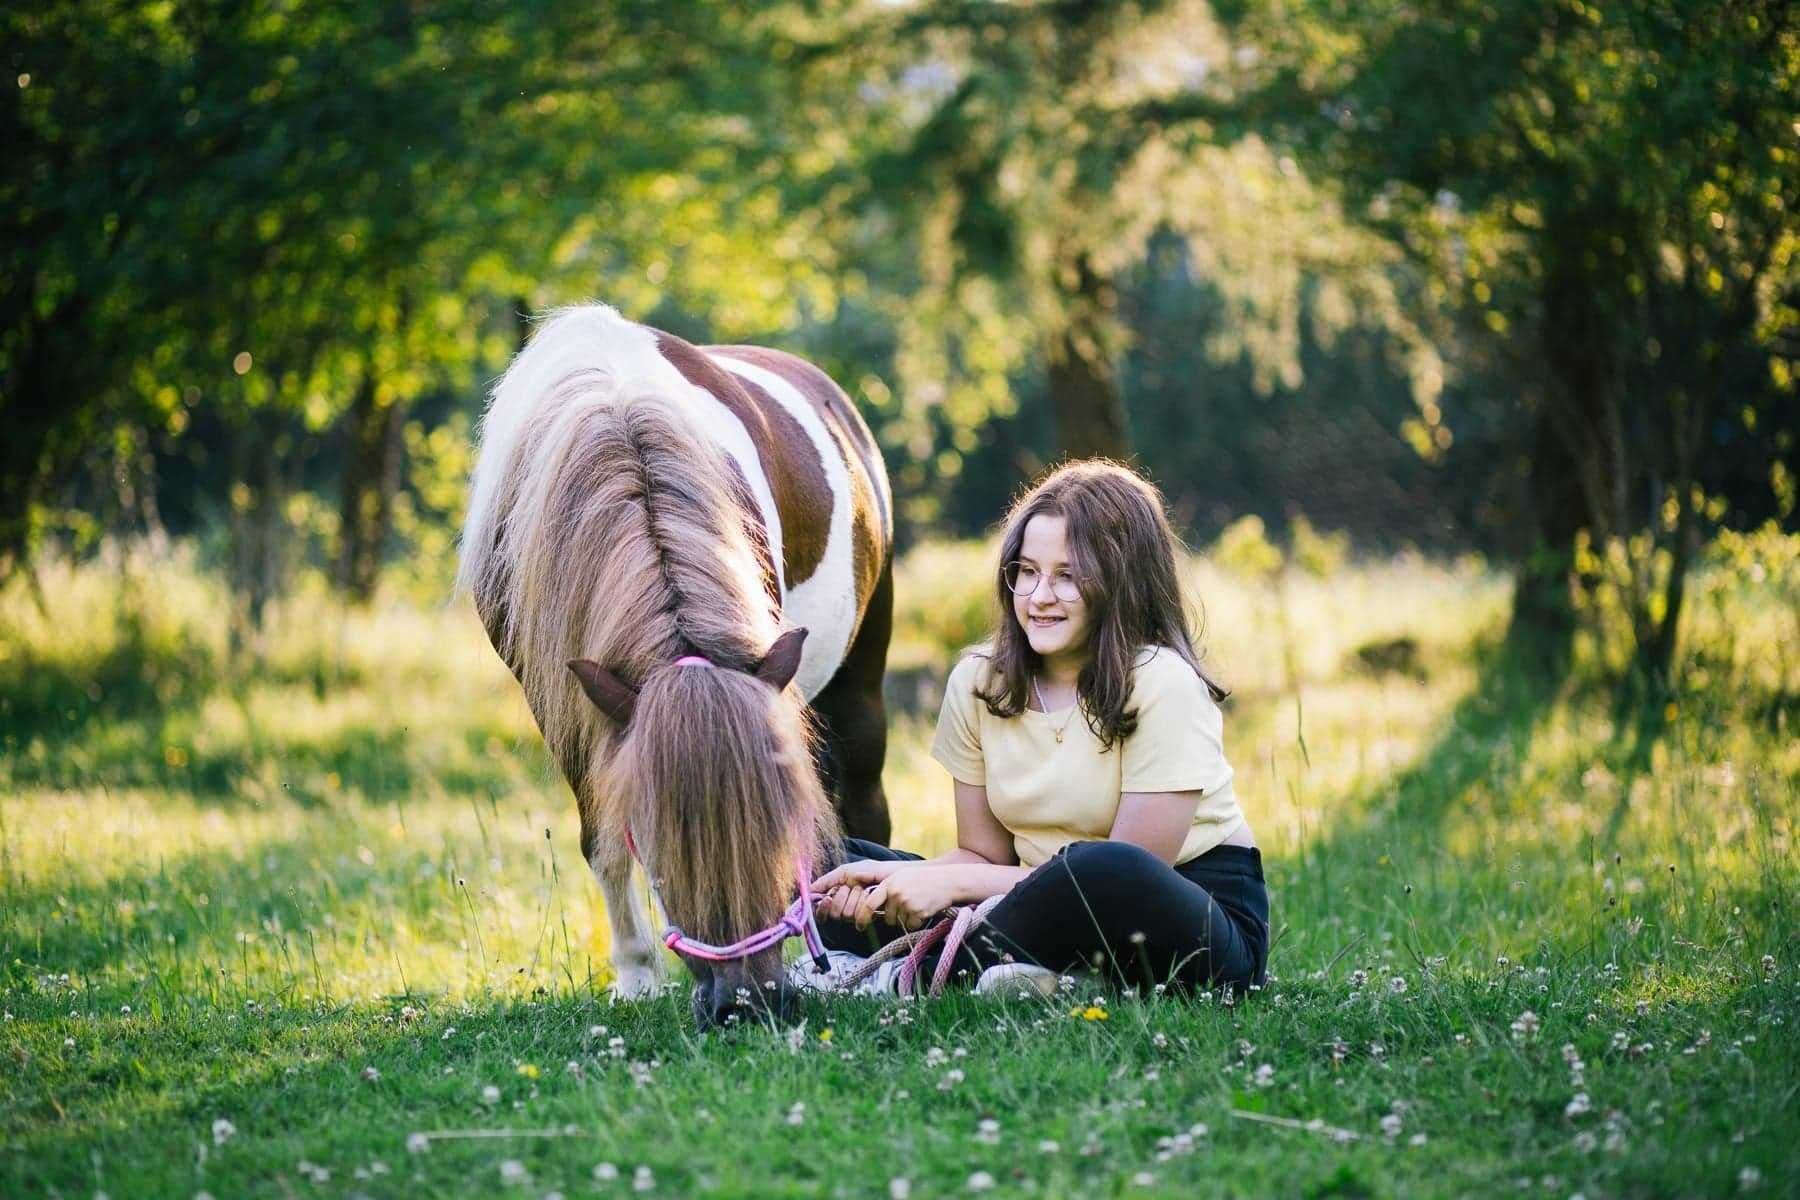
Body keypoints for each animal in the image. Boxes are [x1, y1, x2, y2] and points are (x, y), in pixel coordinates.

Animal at [457, 305, 892, 1029]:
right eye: (661, 851)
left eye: (776, 827)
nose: (750, 1003)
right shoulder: (568, 703)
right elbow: (603, 839)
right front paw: (636, 974)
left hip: (862, 673)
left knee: (864, 799)